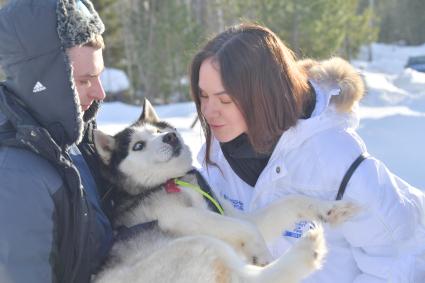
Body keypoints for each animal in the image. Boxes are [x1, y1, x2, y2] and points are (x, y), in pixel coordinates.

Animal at [93, 100, 358, 283]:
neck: (174, 179)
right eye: (138, 145)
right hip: (198, 244)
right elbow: (248, 228)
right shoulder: (179, 216)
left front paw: (332, 209)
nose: (170, 137)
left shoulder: (226, 211)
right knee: (253, 279)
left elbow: (289, 203)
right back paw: (308, 250)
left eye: (159, 130)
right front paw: (260, 250)